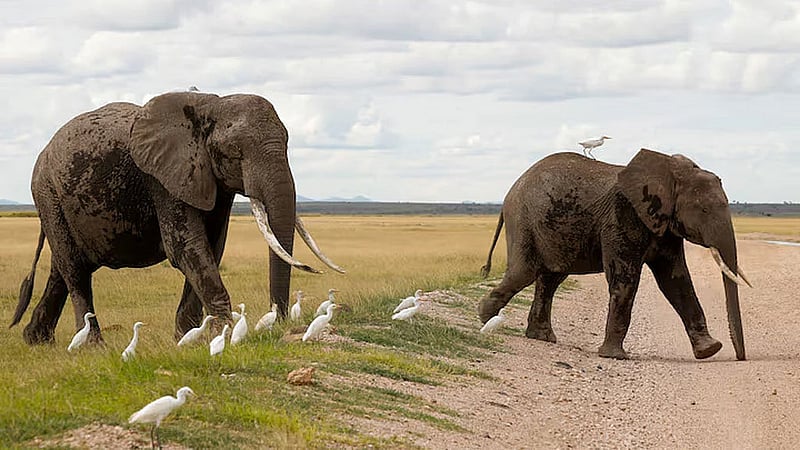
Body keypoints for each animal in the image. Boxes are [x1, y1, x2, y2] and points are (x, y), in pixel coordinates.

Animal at [10, 91, 344, 345]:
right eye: (234, 152)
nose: (280, 322)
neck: (208, 105)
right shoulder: (163, 178)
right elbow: (186, 248)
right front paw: (220, 334)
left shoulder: (210, 179)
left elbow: (211, 247)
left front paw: (187, 339)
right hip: (47, 193)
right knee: (75, 270)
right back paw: (93, 347)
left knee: (62, 269)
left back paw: (36, 340)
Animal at [478, 149, 750, 361]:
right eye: (703, 210)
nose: (740, 357)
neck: (669, 172)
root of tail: (510, 191)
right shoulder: (623, 216)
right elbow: (625, 279)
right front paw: (614, 356)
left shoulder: (664, 225)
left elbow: (676, 280)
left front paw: (709, 350)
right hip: (523, 219)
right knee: (524, 271)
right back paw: (486, 317)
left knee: (550, 278)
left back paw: (541, 337)